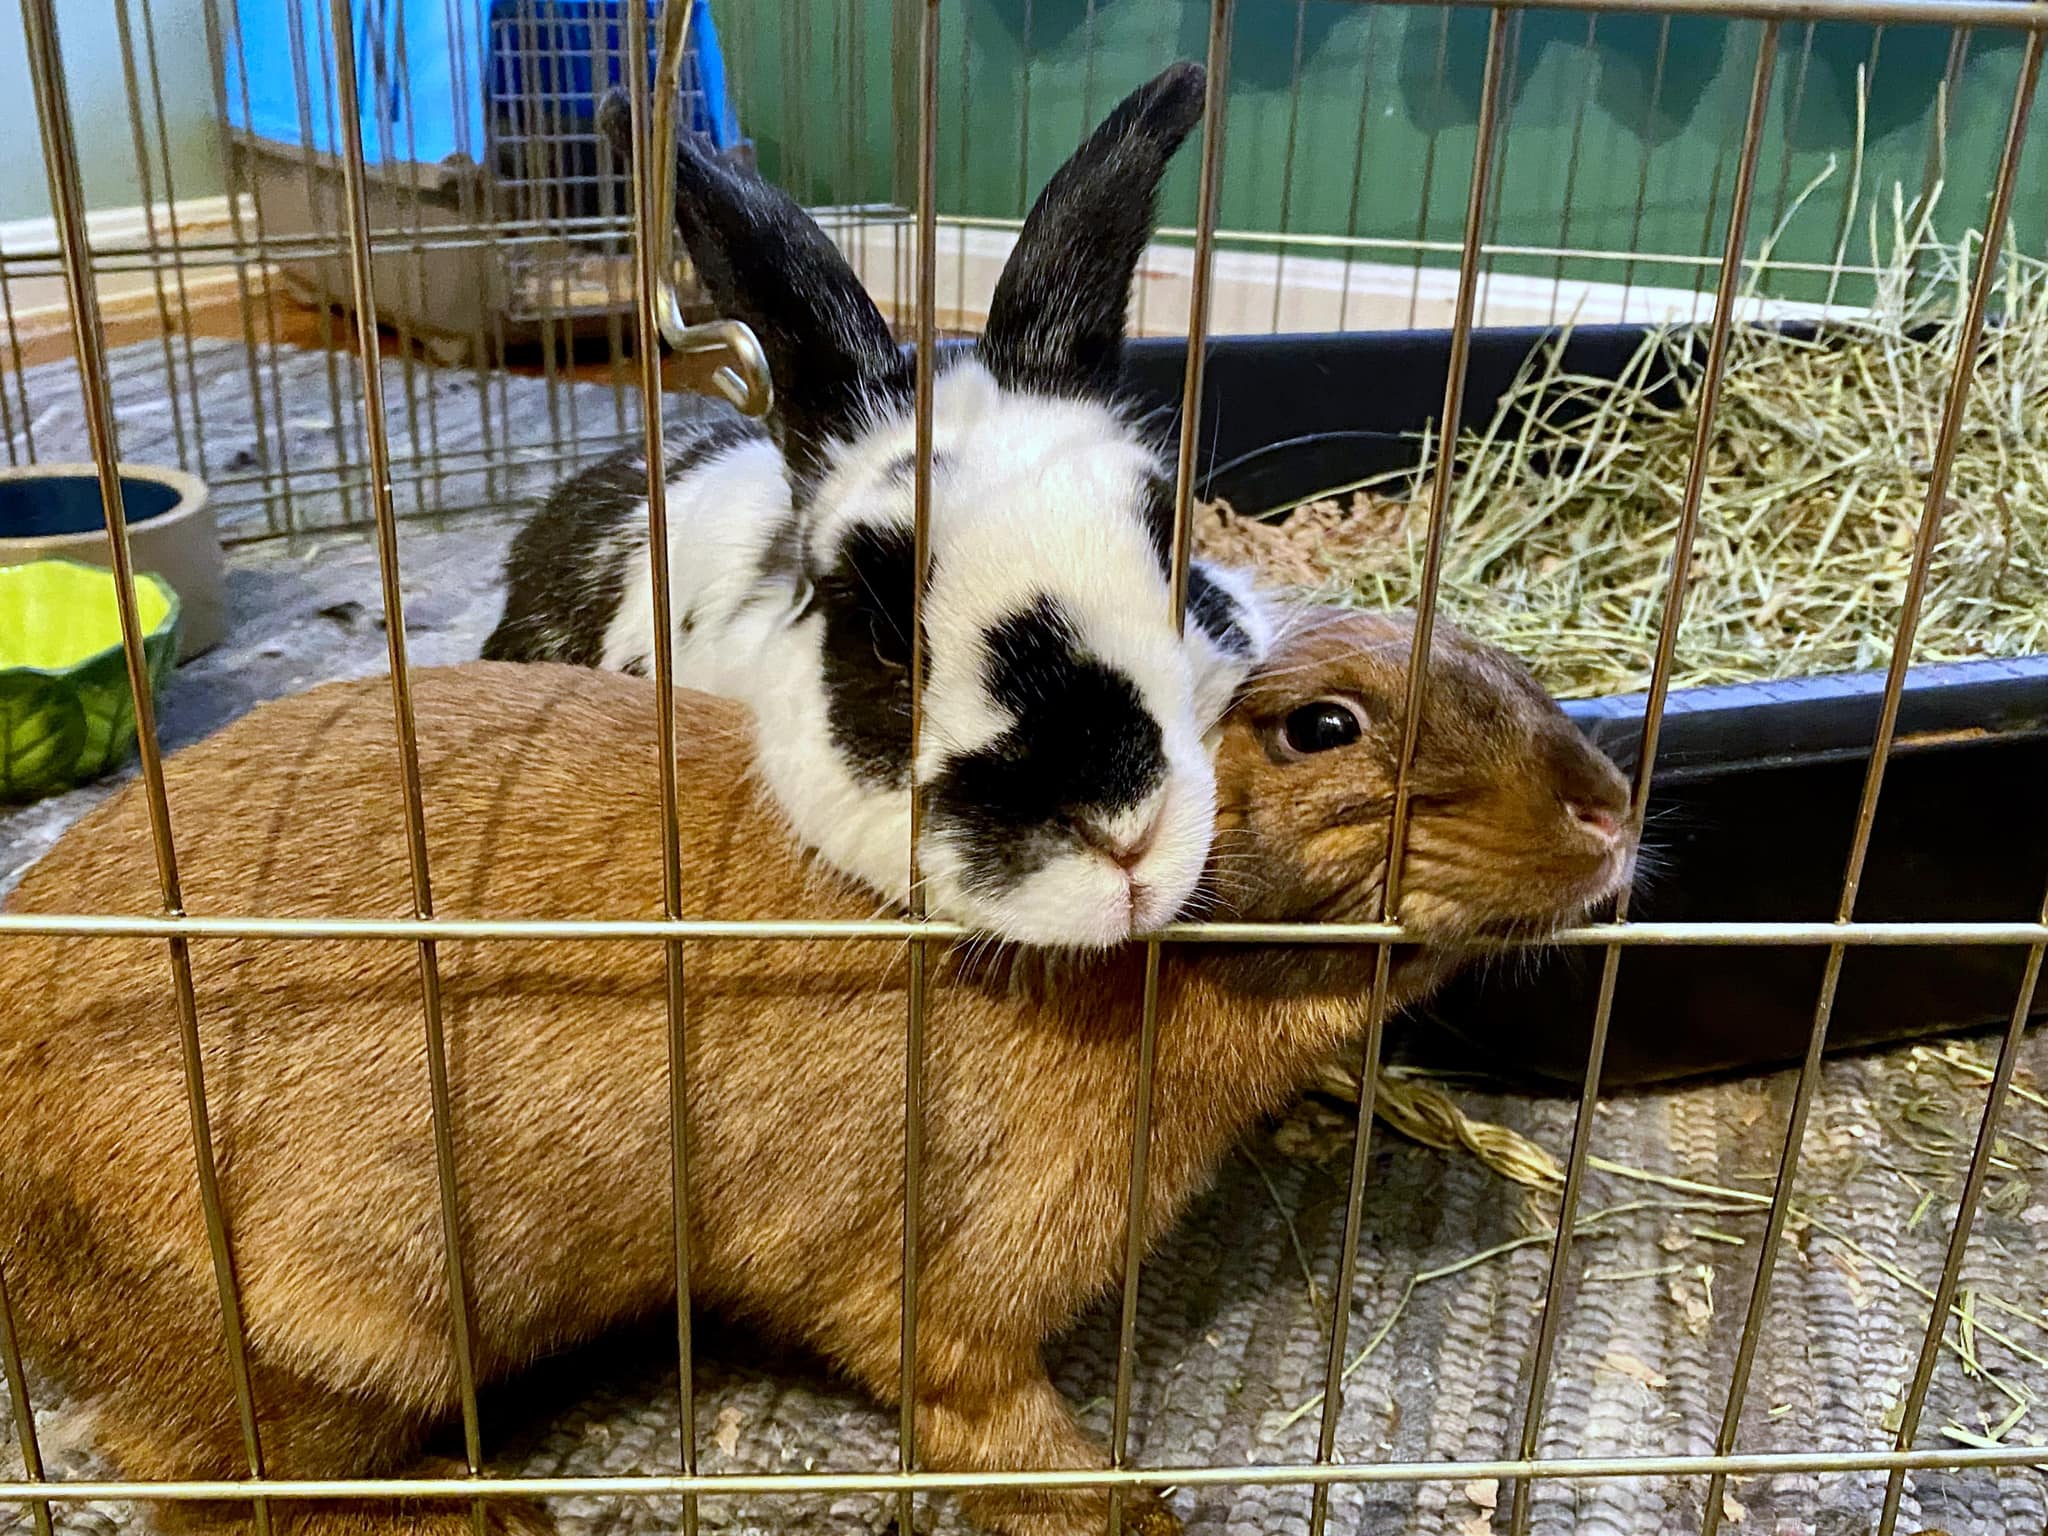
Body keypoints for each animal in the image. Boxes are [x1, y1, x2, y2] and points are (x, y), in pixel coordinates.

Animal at [0, 607, 1632, 1536]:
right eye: (1323, 727)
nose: (1610, 810)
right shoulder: (952, 1295)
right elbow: (988, 1426)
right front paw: (1130, 1510)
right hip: (337, 1334)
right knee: (210, 1490)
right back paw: (490, 1517)